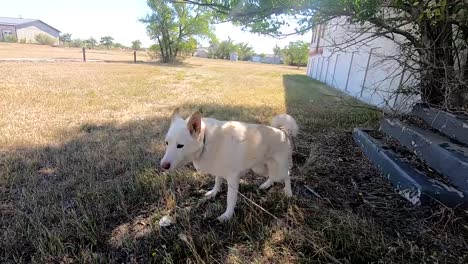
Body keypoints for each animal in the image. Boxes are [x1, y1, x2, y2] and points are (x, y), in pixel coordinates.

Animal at [161, 108, 298, 222]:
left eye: (180, 146)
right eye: (167, 143)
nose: (163, 165)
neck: (206, 140)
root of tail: (283, 132)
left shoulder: (233, 179)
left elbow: (230, 199)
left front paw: (227, 215)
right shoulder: (219, 170)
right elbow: (217, 182)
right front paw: (213, 193)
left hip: (279, 168)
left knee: (287, 176)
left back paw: (288, 193)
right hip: (260, 168)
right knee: (272, 176)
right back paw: (266, 185)